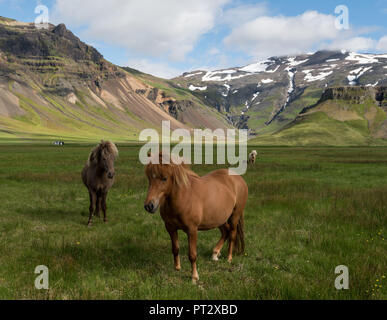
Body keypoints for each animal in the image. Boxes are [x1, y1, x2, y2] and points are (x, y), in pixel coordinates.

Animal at [145, 154, 249, 284]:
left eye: (164, 178)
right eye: (149, 178)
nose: (149, 206)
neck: (184, 197)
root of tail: (238, 178)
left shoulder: (192, 230)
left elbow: (192, 255)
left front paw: (194, 277)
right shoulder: (170, 228)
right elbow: (175, 249)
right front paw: (177, 268)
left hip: (234, 216)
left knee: (232, 234)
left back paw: (229, 258)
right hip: (219, 218)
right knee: (226, 232)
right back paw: (215, 254)